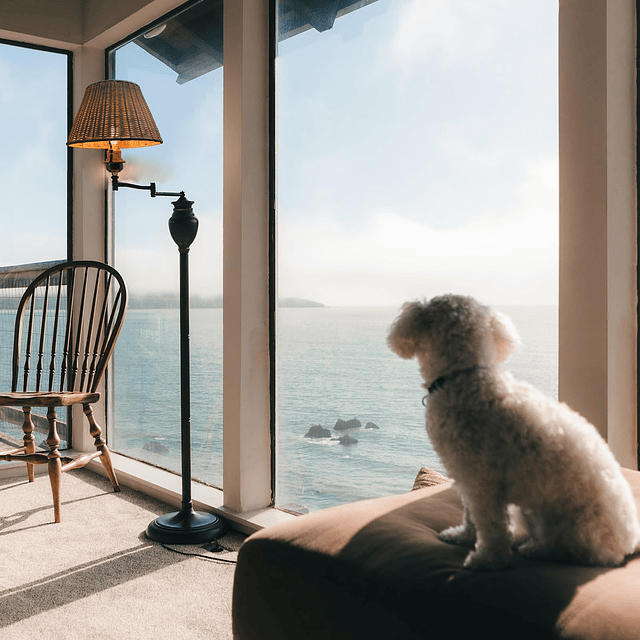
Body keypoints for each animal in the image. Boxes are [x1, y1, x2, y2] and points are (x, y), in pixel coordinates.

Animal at [384, 296, 640, 568]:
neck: (466, 378)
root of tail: (630, 543)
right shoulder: (467, 478)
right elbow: (470, 516)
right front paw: (464, 536)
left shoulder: (483, 481)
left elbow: (490, 525)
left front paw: (487, 559)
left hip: (565, 521)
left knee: (570, 550)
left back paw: (536, 549)